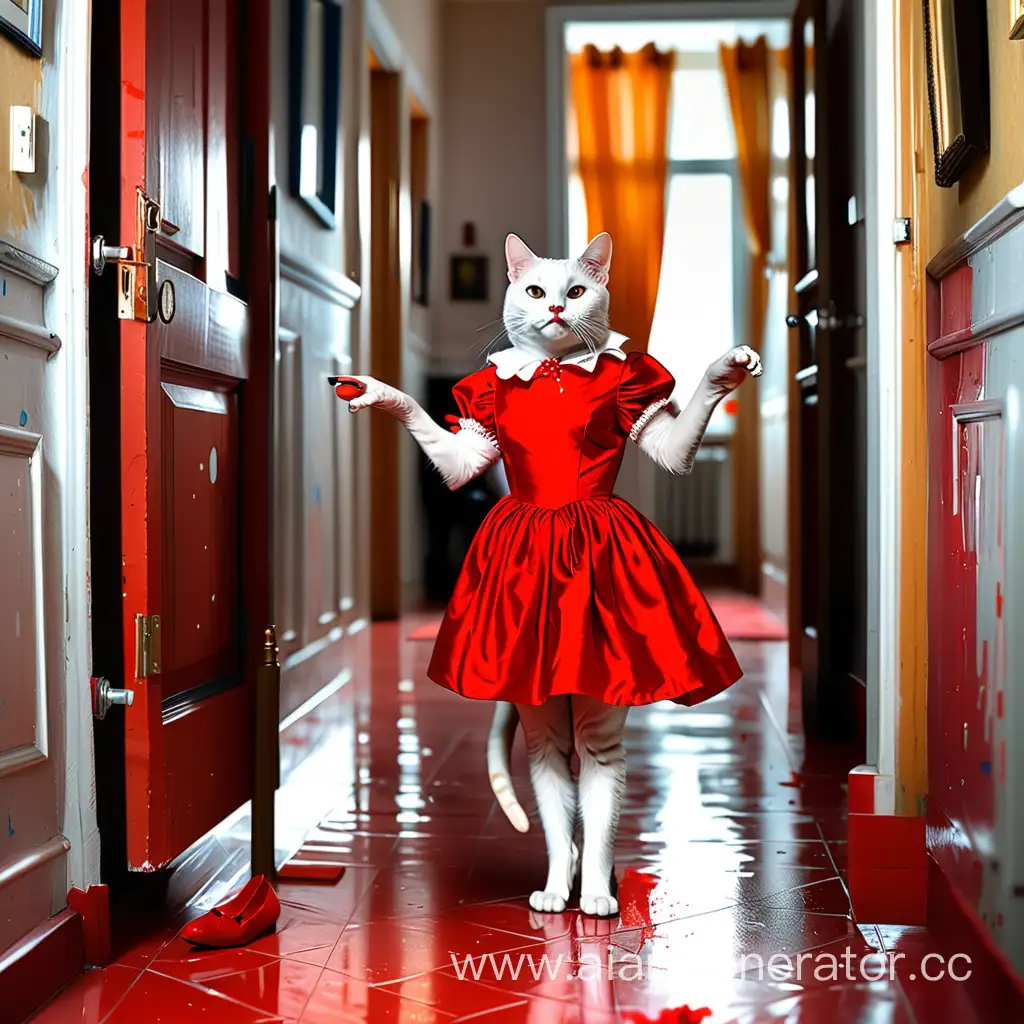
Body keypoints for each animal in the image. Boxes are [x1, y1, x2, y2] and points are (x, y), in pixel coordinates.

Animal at [348, 234, 757, 921]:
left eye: (577, 291)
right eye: (537, 291)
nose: (559, 310)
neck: (554, 367)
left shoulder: (646, 410)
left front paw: (724, 371)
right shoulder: (470, 447)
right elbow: (448, 444)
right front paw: (378, 392)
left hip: (592, 722)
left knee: (592, 787)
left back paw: (592, 885)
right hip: (539, 714)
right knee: (552, 786)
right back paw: (557, 884)